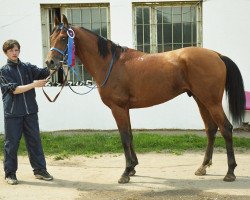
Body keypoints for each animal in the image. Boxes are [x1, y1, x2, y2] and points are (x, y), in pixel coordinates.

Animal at [46, 14, 245, 184]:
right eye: (51, 37)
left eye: (63, 38)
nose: (50, 63)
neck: (111, 64)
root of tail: (216, 55)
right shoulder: (125, 109)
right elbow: (130, 135)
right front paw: (133, 167)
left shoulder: (118, 108)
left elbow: (124, 137)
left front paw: (126, 172)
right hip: (201, 101)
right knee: (211, 129)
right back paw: (203, 167)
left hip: (212, 102)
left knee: (226, 128)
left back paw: (230, 172)